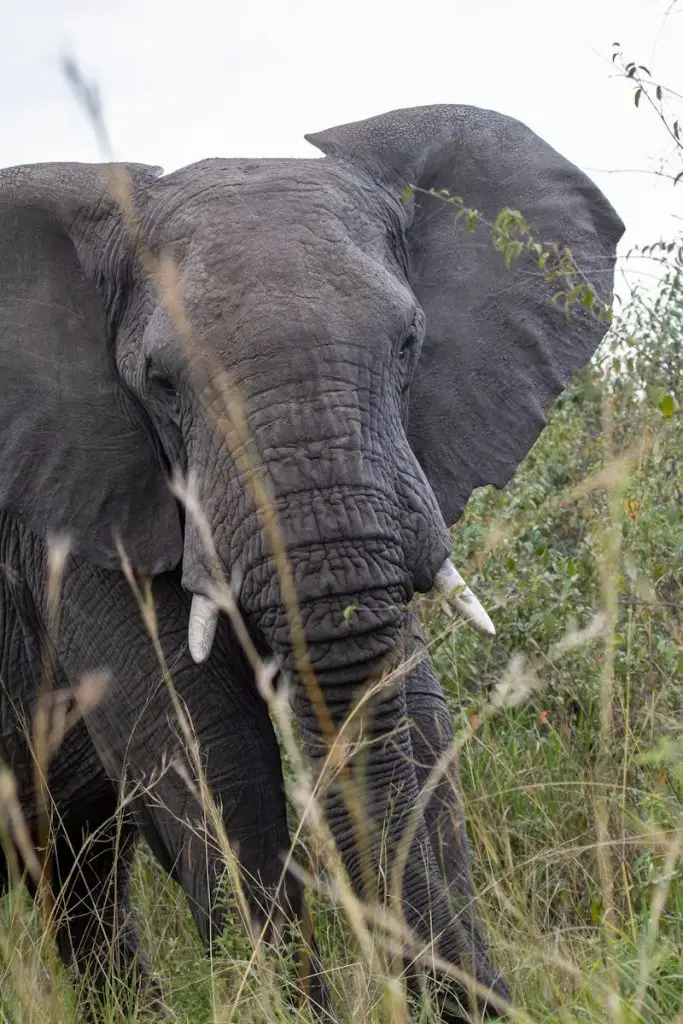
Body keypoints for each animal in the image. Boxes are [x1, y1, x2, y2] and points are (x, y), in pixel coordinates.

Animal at [0, 103, 624, 1020]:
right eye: (160, 383)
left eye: (410, 342)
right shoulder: (75, 498)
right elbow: (208, 750)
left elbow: (411, 715)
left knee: (81, 876)